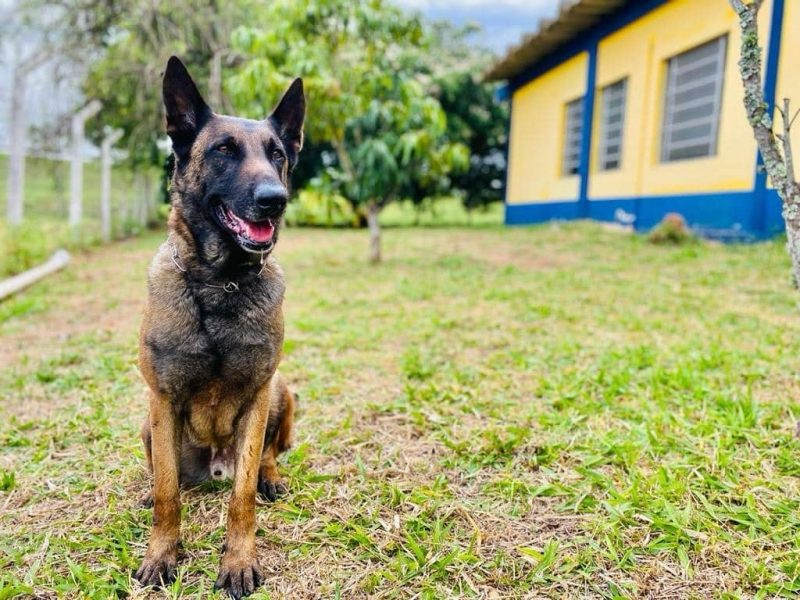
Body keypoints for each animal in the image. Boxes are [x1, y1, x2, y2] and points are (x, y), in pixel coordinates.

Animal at [134, 55, 304, 596]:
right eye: (223, 151)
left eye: (277, 155)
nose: (275, 199)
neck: (219, 284)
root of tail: (213, 465)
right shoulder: (162, 397)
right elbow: (169, 492)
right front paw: (162, 555)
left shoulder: (257, 393)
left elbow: (242, 496)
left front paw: (239, 560)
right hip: (147, 423)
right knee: (162, 475)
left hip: (281, 390)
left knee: (267, 454)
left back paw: (271, 477)